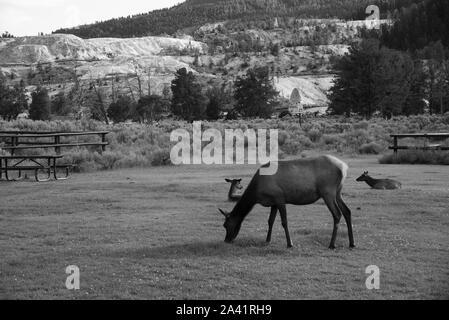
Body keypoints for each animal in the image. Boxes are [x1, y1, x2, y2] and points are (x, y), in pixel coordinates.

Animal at [219, 155, 356, 250]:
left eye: (226, 225)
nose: (226, 240)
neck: (256, 194)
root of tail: (344, 167)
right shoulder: (273, 202)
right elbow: (270, 221)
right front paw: (267, 240)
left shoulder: (280, 198)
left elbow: (284, 222)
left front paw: (290, 243)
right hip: (338, 192)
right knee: (347, 211)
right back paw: (352, 243)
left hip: (328, 191)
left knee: (337, 214)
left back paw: (332, 244)